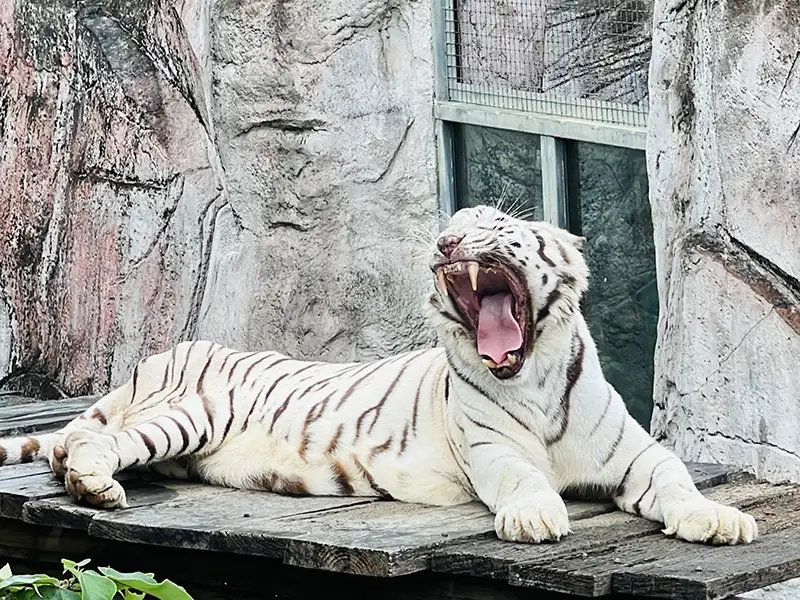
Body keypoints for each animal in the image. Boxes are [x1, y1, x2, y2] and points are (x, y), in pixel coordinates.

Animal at [0, 205, 756, 544]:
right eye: (452, 225)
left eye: (495, 225)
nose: (447, 241)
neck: (532, 377)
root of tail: (158, 356)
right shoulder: (493, 450)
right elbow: (523, 477)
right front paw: (537, 514)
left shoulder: (634, 452)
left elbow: (675, 477)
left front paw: (718, 518)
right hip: (188, 412)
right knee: (91, 443)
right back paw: (95, 486)